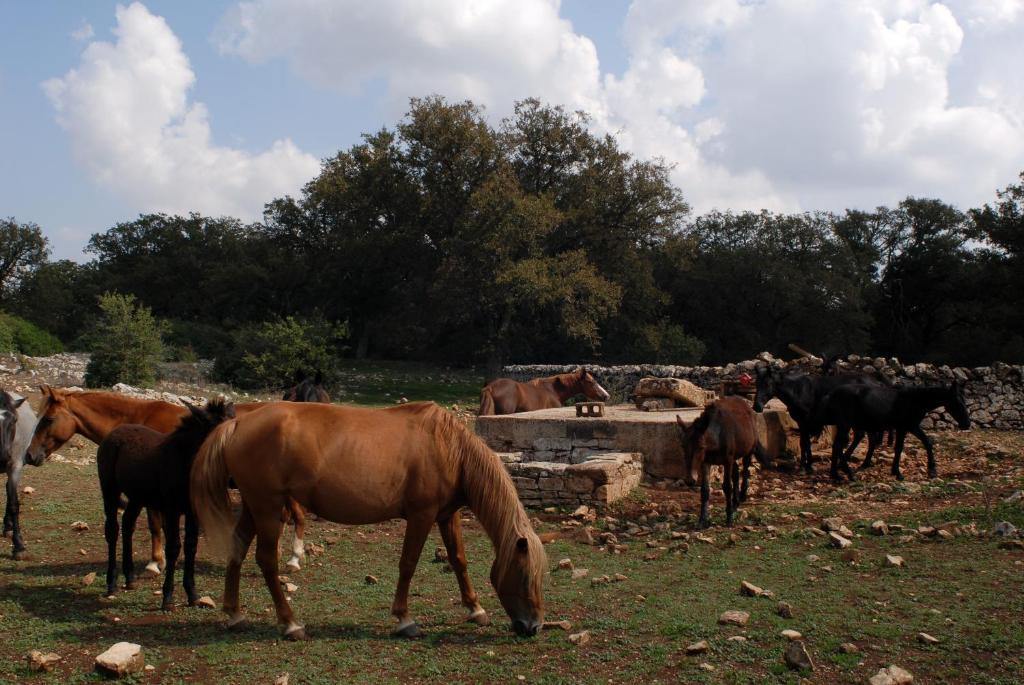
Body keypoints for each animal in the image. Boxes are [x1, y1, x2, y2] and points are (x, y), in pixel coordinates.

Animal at [96, 397, 234, 606]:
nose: (233, 478)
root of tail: (112, 434)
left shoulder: (193, 512)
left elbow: (191, 547)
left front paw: (193, 594)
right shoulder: (172, 509)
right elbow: (173, 548)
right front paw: (168, 598)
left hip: (137, 496)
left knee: (128, 524)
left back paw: (130, 578)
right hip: (110, 490)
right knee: (112, 530)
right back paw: (111, 583)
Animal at [189, 401, 548, 643]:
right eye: (523, 575)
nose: (532, 627)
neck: (449, 448)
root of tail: (238, 424)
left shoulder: (447, 515)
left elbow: (458, 560)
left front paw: (475, 609)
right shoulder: (422, 515)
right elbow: (408, 564)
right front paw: (404, 619)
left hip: (254, 508)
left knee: (236, 551)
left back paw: (235, 614)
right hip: (267, 509)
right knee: (266, 560)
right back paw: (290, 623)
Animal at [749, 366, 884, 473]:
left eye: (767, 384)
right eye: (756, 384)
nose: (756, 406)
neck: (797, 391)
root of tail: (877, 383)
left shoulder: (805, 421)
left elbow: (805, 443)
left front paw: (806, 466)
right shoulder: (801, 422)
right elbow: (804, 443)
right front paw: (805, 465)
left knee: (867, 438)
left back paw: (858, 463)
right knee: (863, 437)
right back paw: (858, 463)